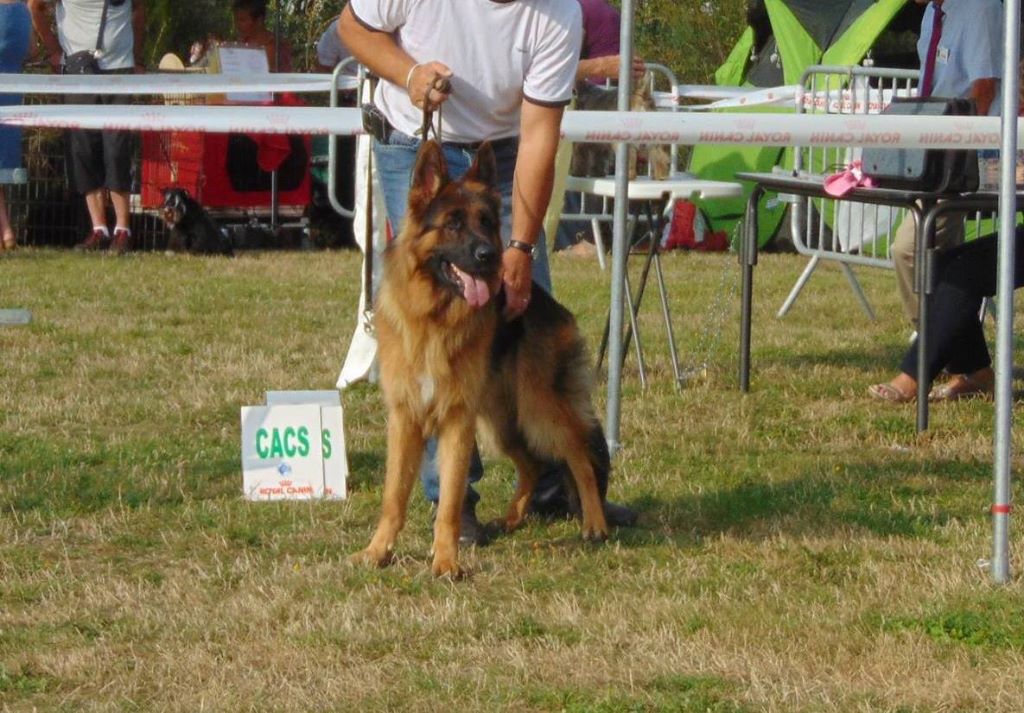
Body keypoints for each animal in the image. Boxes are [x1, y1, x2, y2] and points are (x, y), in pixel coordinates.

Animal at [348, 140, 610, 577]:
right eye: (452, 224)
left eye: (486, 222)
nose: (489, 256)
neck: (434, 317)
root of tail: (554, 307)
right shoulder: (405, 418)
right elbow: (394, 496)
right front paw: (378, 551)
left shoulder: (457, 420)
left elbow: (451, 501)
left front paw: (446, 561)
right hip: (500, 421)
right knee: (532, 465)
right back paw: (513, 518)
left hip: (537, 410)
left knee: (579, 455)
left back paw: (594, 523)